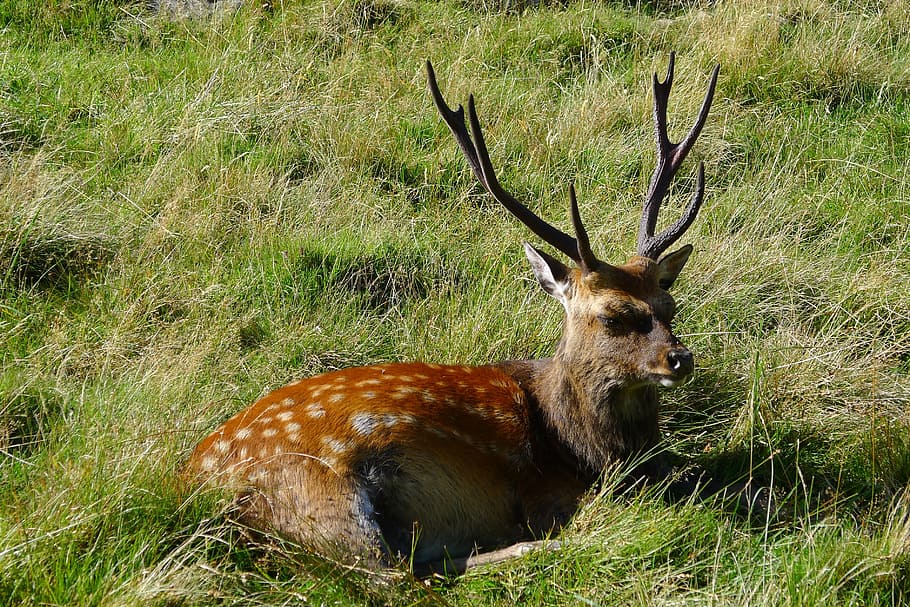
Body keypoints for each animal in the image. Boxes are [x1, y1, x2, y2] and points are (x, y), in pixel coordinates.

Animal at [185, 53, 720, 575]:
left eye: (670, 304)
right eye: (611, 315)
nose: (680, 358)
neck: (583, 448)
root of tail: (190, 485)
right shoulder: (546, 491)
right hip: (318, 491)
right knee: (393, 575)